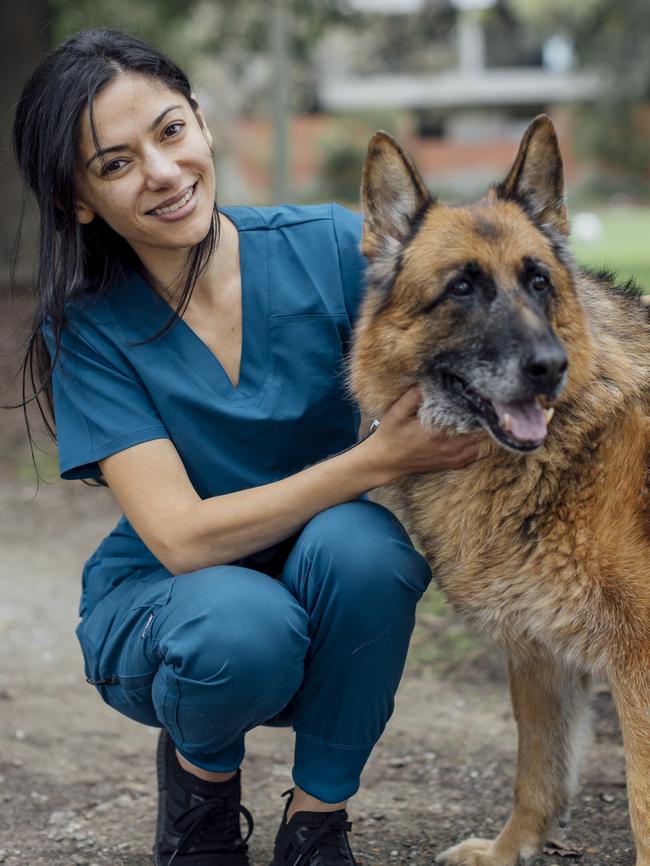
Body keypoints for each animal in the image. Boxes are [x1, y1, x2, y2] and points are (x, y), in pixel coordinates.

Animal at [350, 116, 648, 864]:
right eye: (462, 287)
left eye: (538, 281)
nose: (549, 367)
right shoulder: (539, 652)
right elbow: (537, 772)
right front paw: (508, 851)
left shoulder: (638, 662)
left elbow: (642, 804)